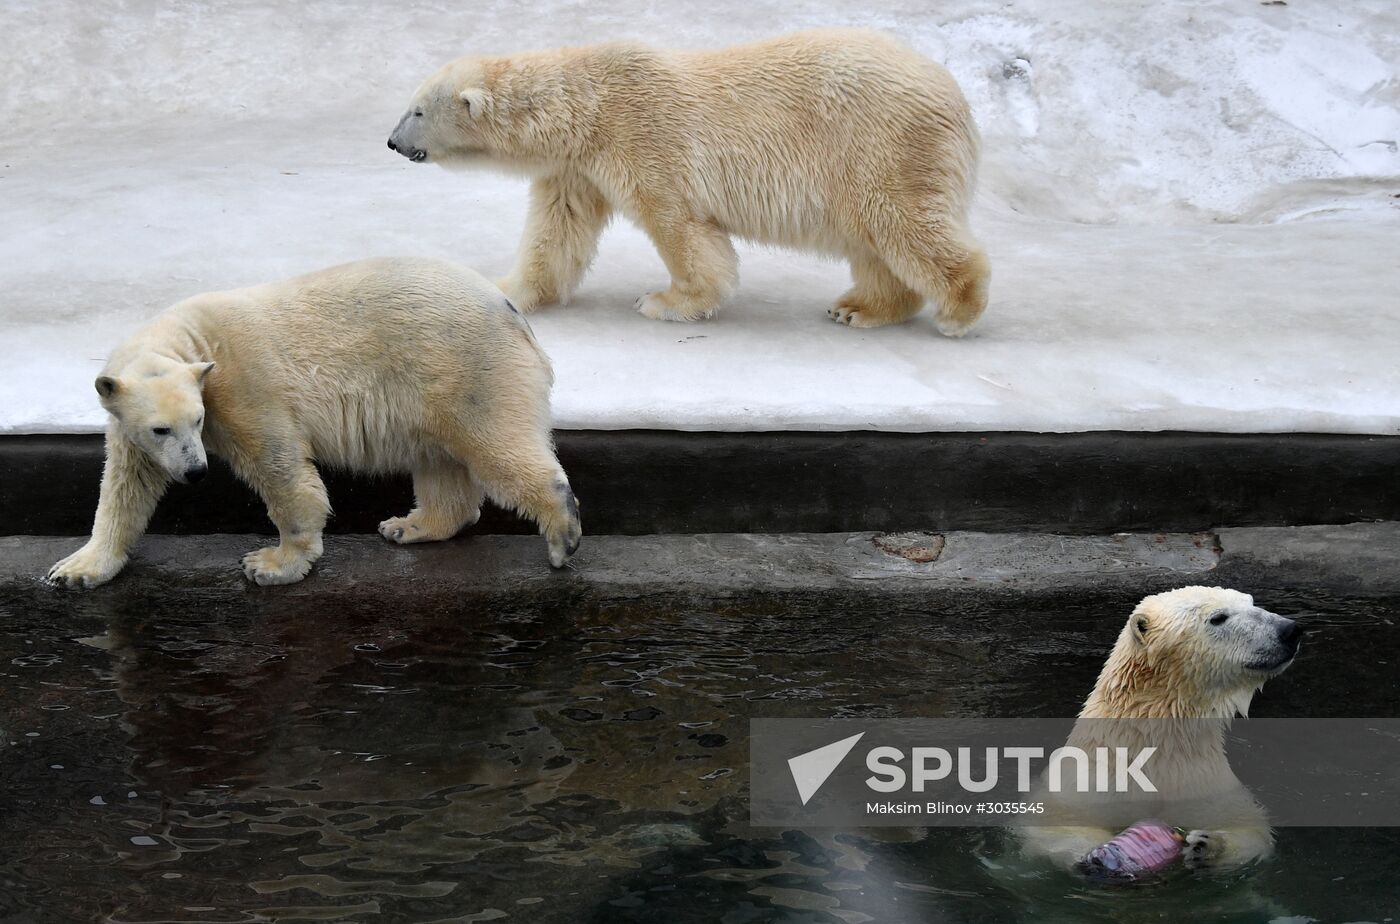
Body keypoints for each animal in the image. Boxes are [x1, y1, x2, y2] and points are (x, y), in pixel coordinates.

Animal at [46, 257, 582, 588]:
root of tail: (513, 312)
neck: (194, 338)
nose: (196, 472)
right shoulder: (129, 424)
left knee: (497, 448)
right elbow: (126, 488)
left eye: (197, 421)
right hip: (435, 391)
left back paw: (562, 535)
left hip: (467, 367)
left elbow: (280, 467)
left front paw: (272, 563)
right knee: (439, 462)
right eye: (162, 429)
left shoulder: (245, 388)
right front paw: (74, 569)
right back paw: (407, 526)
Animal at [387, 29, 990, 335]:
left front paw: (665, 300)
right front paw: (508, 290)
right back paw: (859, 307)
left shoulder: (643, 137)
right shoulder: (578, 167)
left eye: (416, 110)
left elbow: (679, 224)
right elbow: (558, 230)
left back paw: (957, 311)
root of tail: (956, 98)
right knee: (873, 242)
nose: (391, 142)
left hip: (881, 146)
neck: (588, 106)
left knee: (904, 223)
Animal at [1018, 586, 1303, 872]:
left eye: (1251, 602)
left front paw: (1205, 844)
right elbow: (1055, 826)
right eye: (1218, 618)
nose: (1290, 629)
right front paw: (1101, 855)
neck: (1154, 748)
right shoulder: (1086, 785)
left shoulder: (1204, 784)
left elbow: (1248, 829)